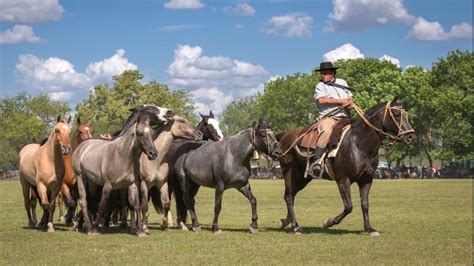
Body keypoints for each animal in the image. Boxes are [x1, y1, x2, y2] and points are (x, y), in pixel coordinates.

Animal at [71, 105, 173, 236]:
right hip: (81, 177)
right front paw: (97, 228)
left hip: (92, 182)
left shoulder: (132, 184)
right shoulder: (108, 185)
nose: (153, 153)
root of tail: (82, 147)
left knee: (91, 200)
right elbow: (104, 205)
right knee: (84, 200)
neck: (122, 155)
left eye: (151, 133)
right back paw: (88, 227)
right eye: (150, 109)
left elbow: (135, 204)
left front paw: (139, 230)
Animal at [278, 97, 414, 235]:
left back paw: (287, 222)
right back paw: (296, 227)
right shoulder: (343, 179)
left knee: (291, 195)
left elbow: (365, 204)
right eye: (396, 114)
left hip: (303, 178)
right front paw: (329, 222)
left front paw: (369, 228)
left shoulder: (366, 179)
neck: (359, 144)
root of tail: (285, 136)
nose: (410, 136)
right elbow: (349, 206)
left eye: (405, 114)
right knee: (288, 196)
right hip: (289, 172)